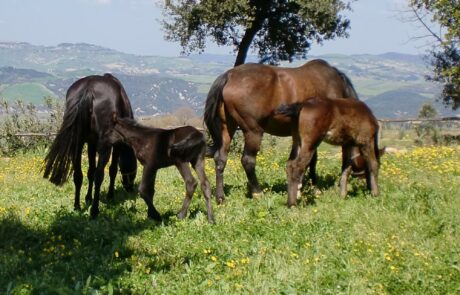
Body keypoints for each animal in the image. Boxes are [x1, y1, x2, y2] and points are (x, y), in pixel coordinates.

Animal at [43, 73, 137, 217]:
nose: (130, 188)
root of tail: (88, 89)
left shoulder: (91, 144)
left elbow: (90, 171)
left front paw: (88, 198)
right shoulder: (116, 145)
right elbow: (112, 170)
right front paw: (110, 196)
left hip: (78, 143)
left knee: (78, 175)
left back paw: (77, 206)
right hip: (104, 147)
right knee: (99, 175)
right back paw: (94, 210)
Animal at [205, 59, 360, 204]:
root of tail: (229, 76)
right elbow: (312, 161)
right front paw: (313, 189)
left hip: (227, 128)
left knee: (220, 159)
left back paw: (220, 198)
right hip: (253, 131)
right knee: (248, 160)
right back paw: (257, 193)